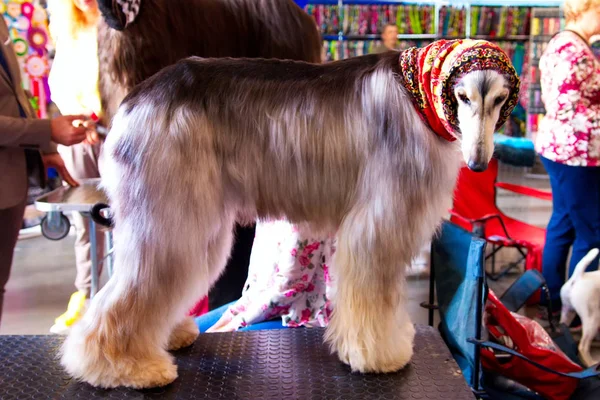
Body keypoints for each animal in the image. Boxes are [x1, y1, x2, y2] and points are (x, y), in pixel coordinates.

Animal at [59, 39, 520, 388]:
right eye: (462, 97)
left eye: (500, 100)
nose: (479, 163)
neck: (418, 96)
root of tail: (132, 102)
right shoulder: (379, 224)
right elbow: (375, 298)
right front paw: (378, 354)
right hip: (169, 215)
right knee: (125, 296)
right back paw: (122, 366)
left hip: (190, 220)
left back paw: (168, 335)